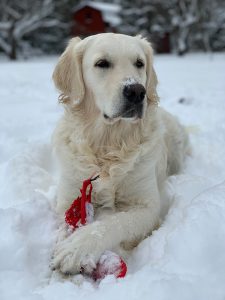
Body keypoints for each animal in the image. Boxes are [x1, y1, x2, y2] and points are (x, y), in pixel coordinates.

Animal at [51, 33, 190, 276]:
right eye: (102, 63)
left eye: (139, 63)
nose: (136, 91)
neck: (109, 145)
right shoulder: (68, 198)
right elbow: (66, 226)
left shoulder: (146, 207)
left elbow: (113, 223)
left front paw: (76, 248)